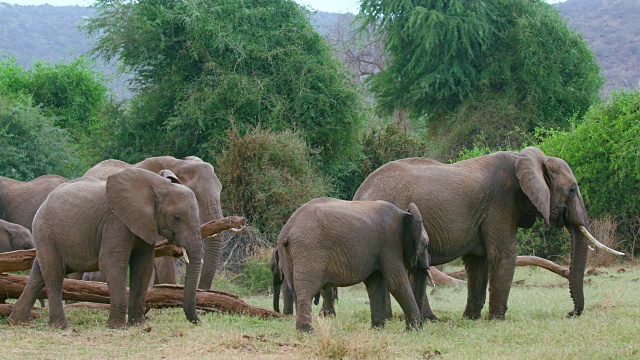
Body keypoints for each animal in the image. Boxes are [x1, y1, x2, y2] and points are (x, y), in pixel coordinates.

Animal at [6, 169, 202, 330]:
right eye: (177, 218)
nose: (199, 321)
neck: (156, 185)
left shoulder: (144, 224)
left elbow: (143, 266)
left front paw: (138, 324)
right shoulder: (116, 222)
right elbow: (111, 263)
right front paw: (117, 327)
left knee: (39, 272)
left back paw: (17, 322)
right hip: (46, 232)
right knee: (54, 274)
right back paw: (62, 327)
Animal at [276, 197, 436, 332]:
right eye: (426, 245)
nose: (423, 324)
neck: (404, 214)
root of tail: (286, 230)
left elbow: (375, 285)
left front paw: (377, 329)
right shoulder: (390, 244)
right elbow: (396, 282)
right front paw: (414, 330)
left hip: (290, 255)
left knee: (296, 289)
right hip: (309, 249)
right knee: (306, 290)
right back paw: (307, 332)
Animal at [352, 145, 624, 320]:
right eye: (572, 190)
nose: (570, 313)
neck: (529, 159)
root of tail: (359, 193)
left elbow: (478, 262)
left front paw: (471, 318)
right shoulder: (502, 204)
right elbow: (503, 255)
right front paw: (497, 319)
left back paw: (421, 319)